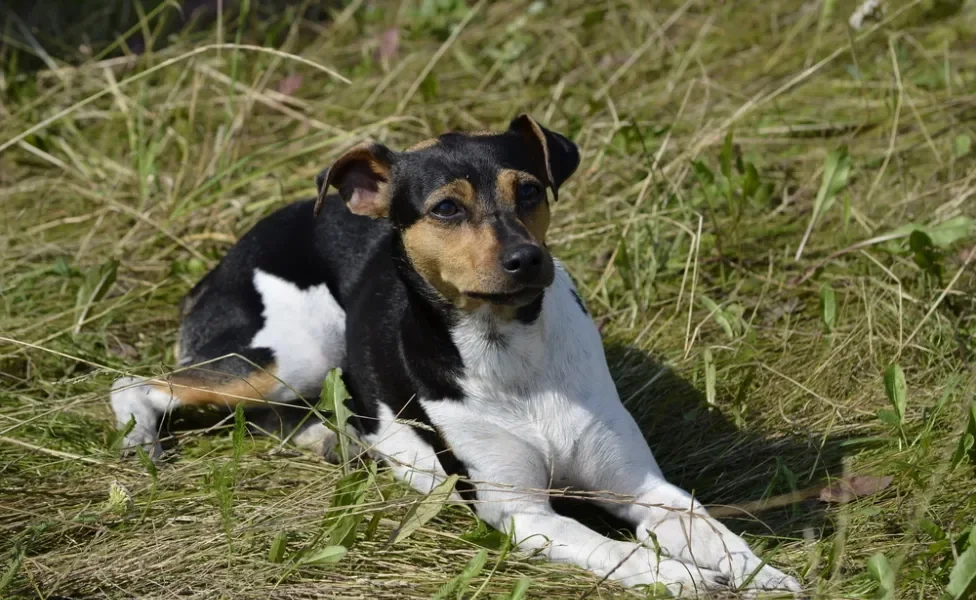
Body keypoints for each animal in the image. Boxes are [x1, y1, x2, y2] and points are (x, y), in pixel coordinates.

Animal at [110, 116, 804, 596]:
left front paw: (759, 573)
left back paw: (335, 440)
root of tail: (224, 260)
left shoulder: (645, 488)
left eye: (530, 191)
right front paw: (685, 578)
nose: (528, 259)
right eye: (446, 208)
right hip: (294, 355)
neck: (511, 352)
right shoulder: (523, 513)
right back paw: (142, 441)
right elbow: (621, 551)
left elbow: (715, 531)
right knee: (135, 385)